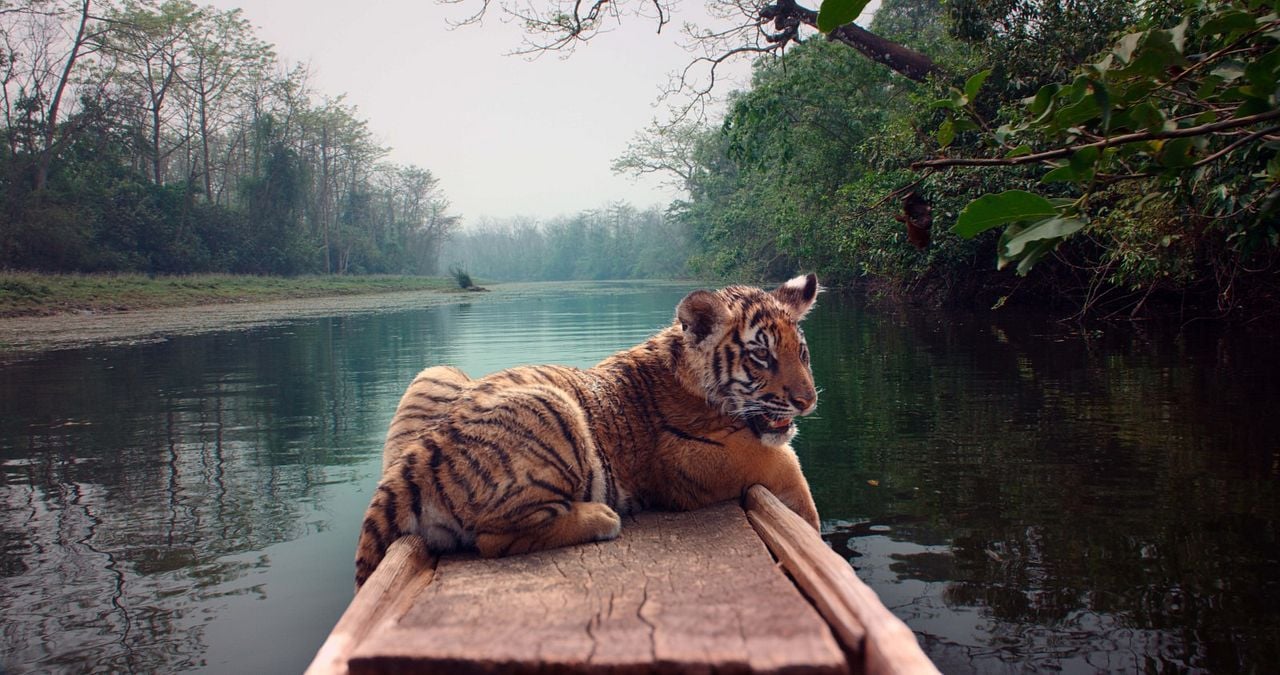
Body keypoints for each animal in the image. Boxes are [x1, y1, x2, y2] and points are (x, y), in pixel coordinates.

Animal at [355, 271, 824, 589]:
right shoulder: (696, 457)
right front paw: (812, 529)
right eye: (761, 356)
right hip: (552, 406)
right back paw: (600, 517)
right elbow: (789, 468)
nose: (808, 401)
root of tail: (407, 467)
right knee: (492, 539)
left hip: (435, 371)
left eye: (801, 352)